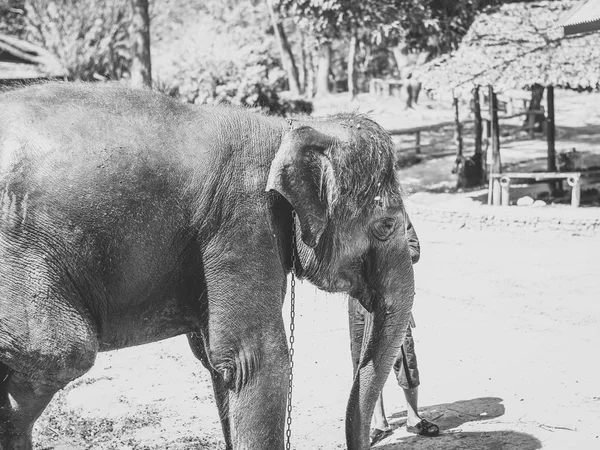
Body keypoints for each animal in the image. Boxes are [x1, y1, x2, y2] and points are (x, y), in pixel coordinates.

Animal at [0, 82, 412, 448]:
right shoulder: (243, 222)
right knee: (61, 352)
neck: (286, 131)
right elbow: (254, 360)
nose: (374, 436)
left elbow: (217, 361)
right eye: (386, 225)